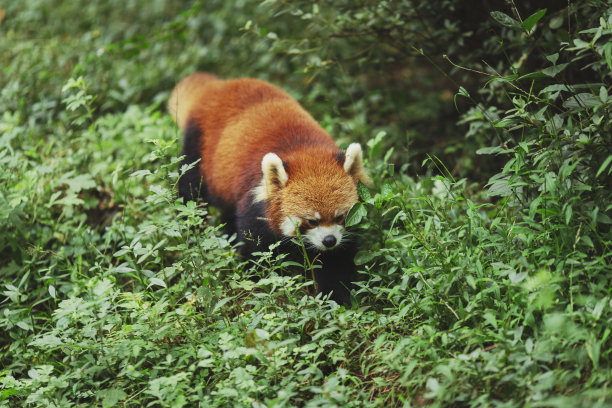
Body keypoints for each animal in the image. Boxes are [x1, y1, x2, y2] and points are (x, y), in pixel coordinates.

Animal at [167, 73, 368, 304]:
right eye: (311, 221)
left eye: (339, 217)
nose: (329, 241)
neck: (305, 151)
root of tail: (218, 86)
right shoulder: (255, 205)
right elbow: (257, 250)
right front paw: (259, 283)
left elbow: (336, 262)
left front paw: (334, 297)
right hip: (197, 148)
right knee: (191, 190)